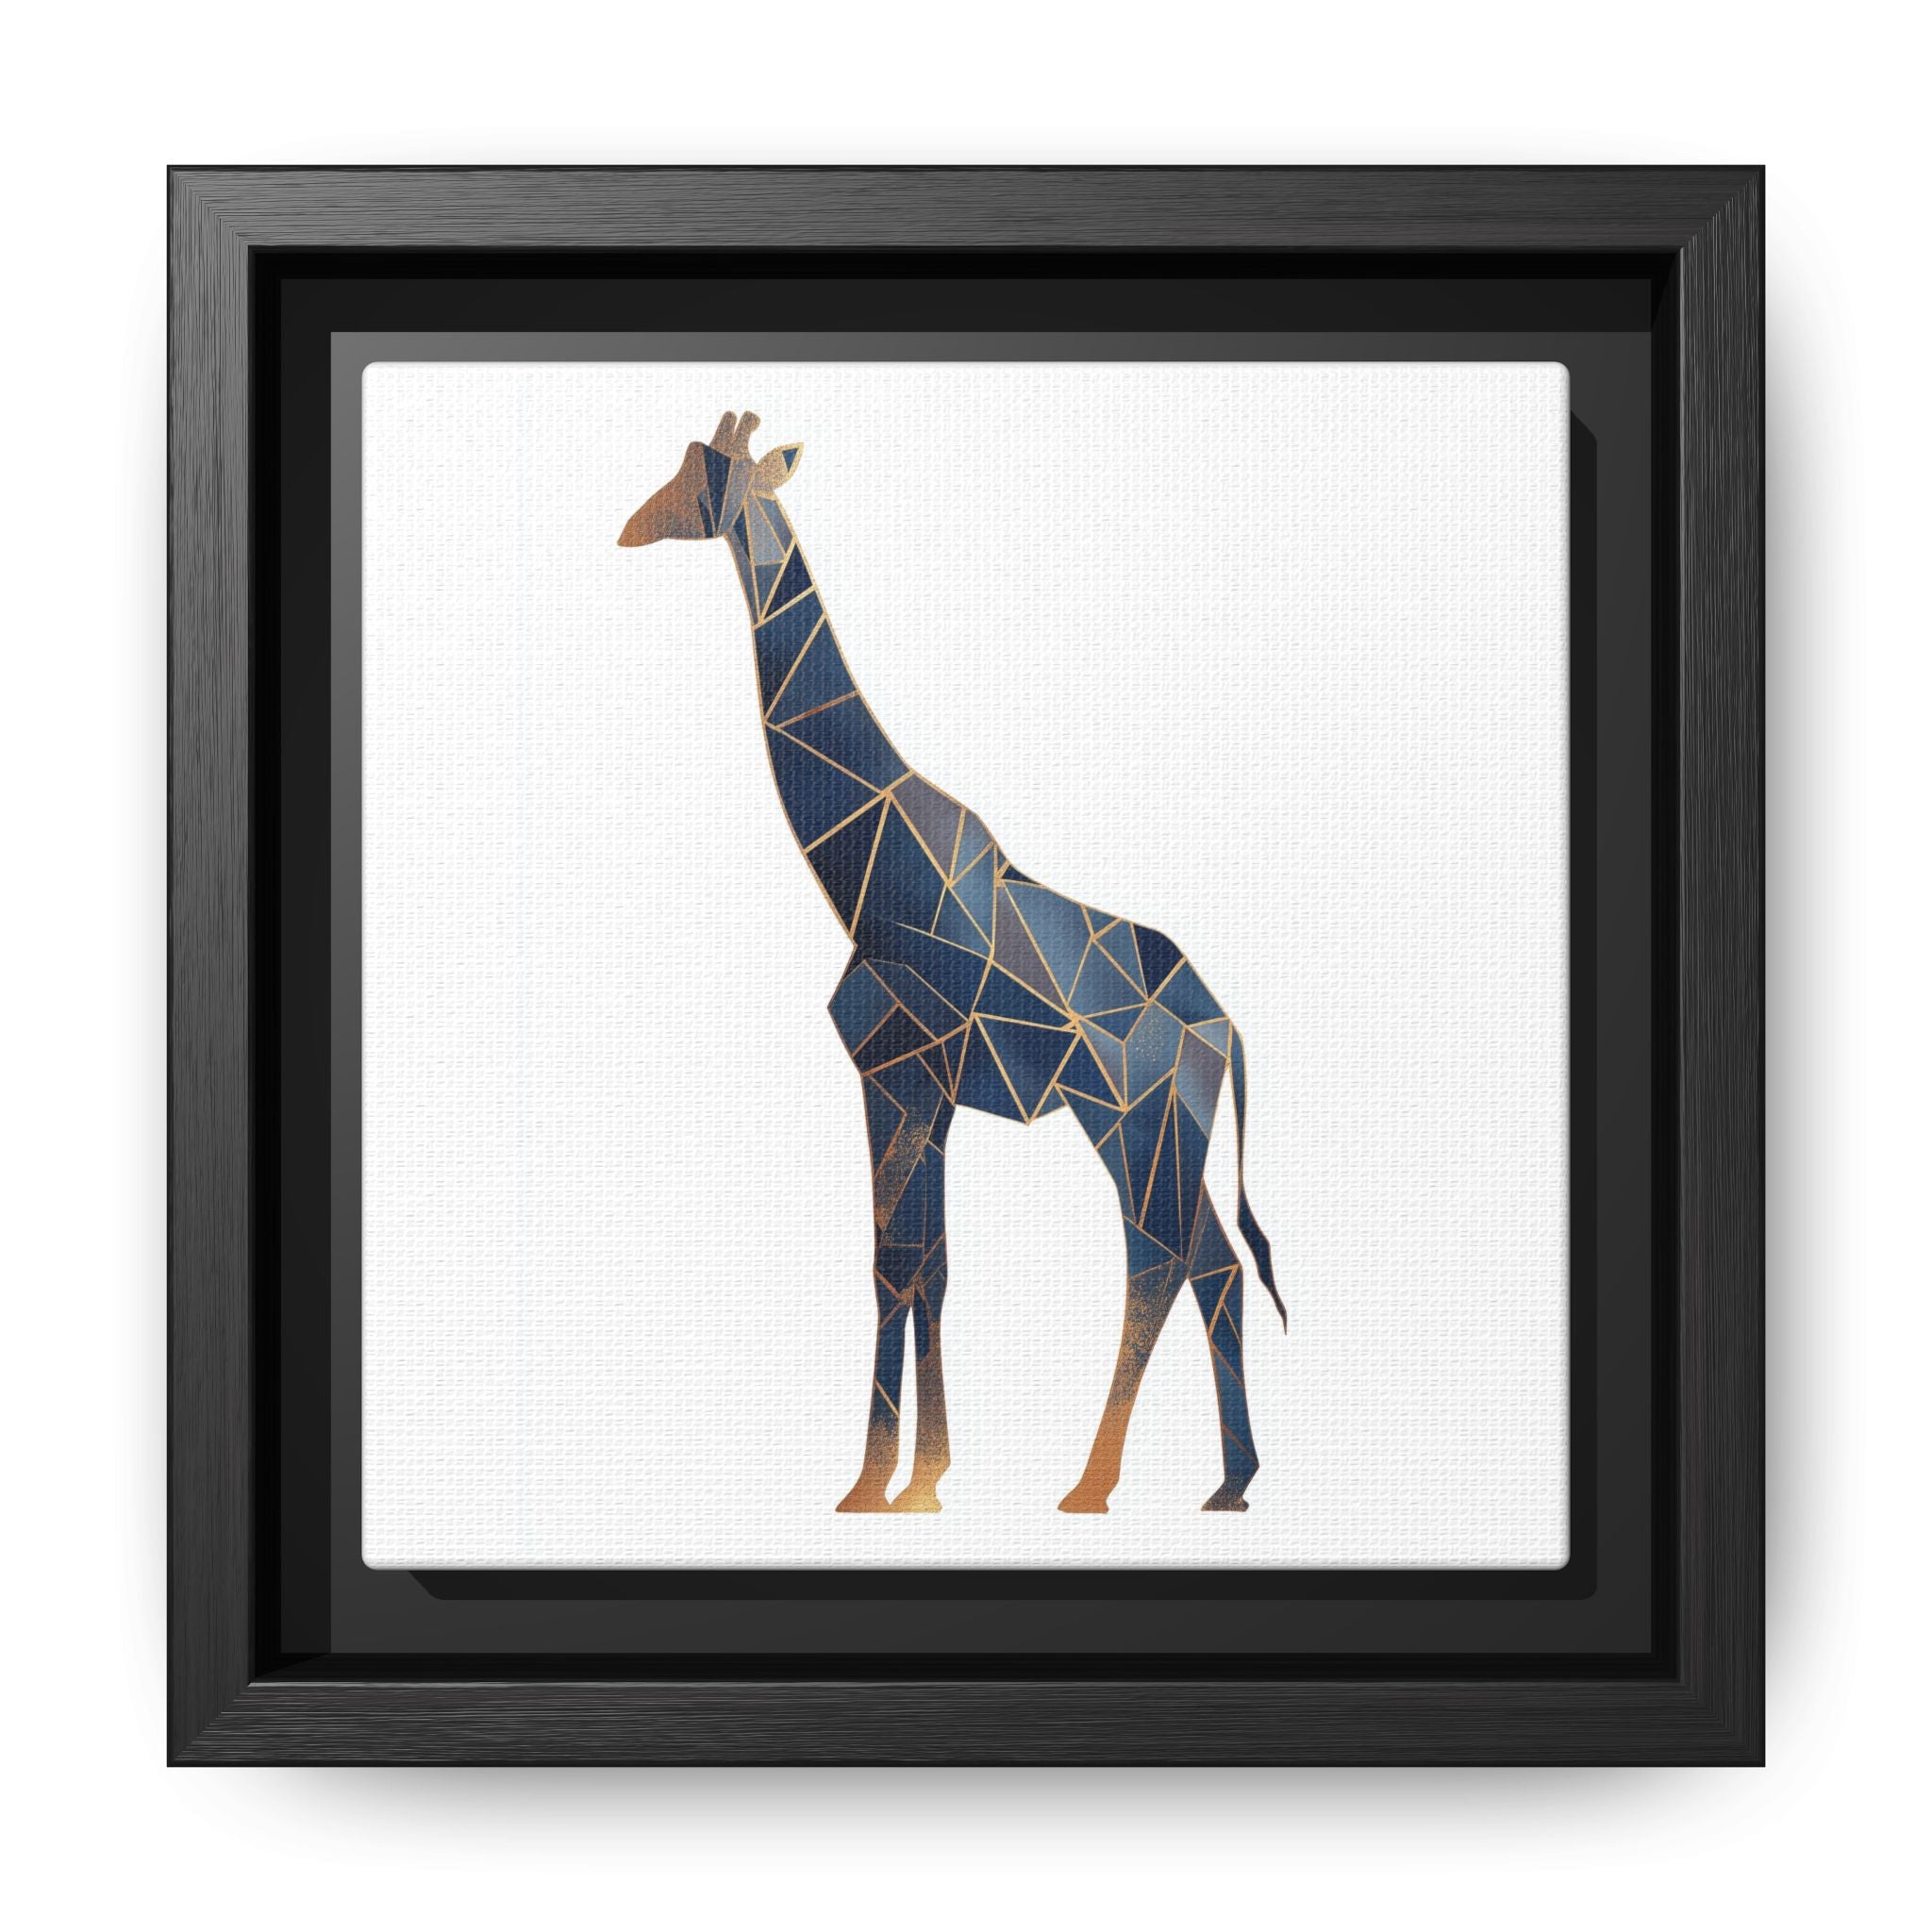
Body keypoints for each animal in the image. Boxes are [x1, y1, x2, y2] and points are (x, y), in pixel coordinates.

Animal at [620, 412, 1284, 1514]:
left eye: (702, 475)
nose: (632, 526)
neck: (864, 870)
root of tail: (1224, 1028)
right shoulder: (909, 1087)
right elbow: (915, 1265)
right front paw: (898, 1479)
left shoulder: (905, 1073)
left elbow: (904, 1265)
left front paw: (895, 1483)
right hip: (1160, 1129)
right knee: (1212, 1265)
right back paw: (1228, 1482)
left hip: (1131, 1119)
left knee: (1158, 1261)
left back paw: (1093, 1485)